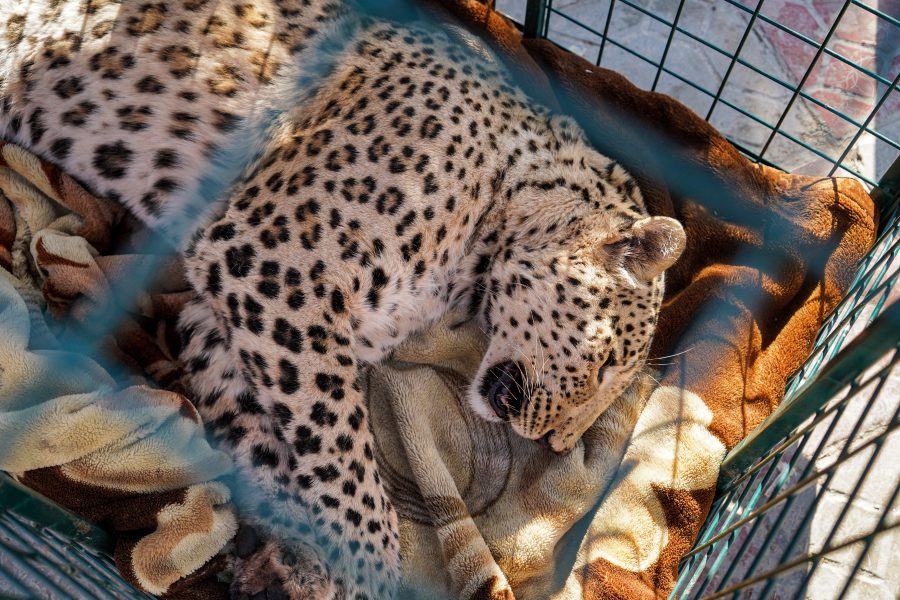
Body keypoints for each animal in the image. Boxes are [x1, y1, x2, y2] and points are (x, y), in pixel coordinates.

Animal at [0, 1, 686, 598]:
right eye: (605, 367)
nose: (555, 446)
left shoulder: (230, 315)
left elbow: (273, 439)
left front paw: (294, 561)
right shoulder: (274, 263)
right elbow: (346, 460)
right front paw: (368, 569)